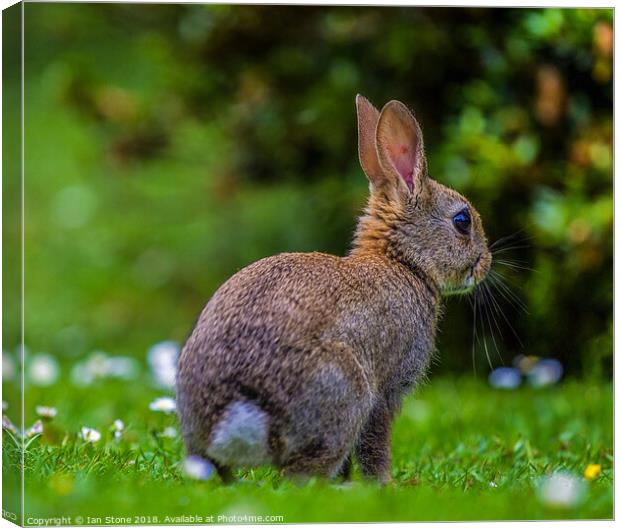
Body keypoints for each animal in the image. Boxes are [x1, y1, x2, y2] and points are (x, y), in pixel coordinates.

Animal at [177, 95, 492, 482]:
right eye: (462, 221)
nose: (486, 262)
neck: (402, 262)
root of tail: (238, 414)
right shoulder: (387, 389)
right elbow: (375, 443)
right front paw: (383, 485)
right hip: (347, 391)